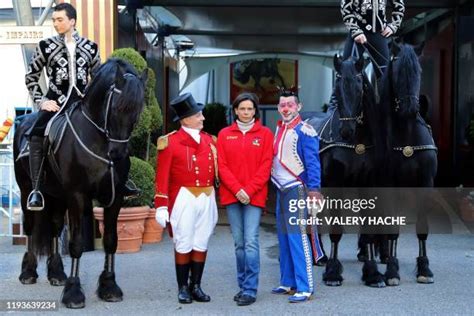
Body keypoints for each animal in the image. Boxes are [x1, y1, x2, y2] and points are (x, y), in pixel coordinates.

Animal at [13, 58, 147, 308]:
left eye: (138, 111)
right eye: (116, 108)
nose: (117, 153)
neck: (98, 141)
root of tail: (24, 120)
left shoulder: (115, 197)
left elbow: (111, 241)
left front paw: (109, 286)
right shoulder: (77, 196)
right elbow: (76, 243)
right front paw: (74, 292)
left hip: (57, 196)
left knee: (55, 227)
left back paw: (56, 273)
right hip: (27, 190)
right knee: (30, 228)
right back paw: (28, 272)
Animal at [308, 55, 388, 288]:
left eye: (360, 84)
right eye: (337, 83)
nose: (346, 131)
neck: (356, 143)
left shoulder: (369, 185)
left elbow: (368, 230)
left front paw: (372, 273)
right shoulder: (336, 184)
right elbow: (335, 230)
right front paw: (333, 272)